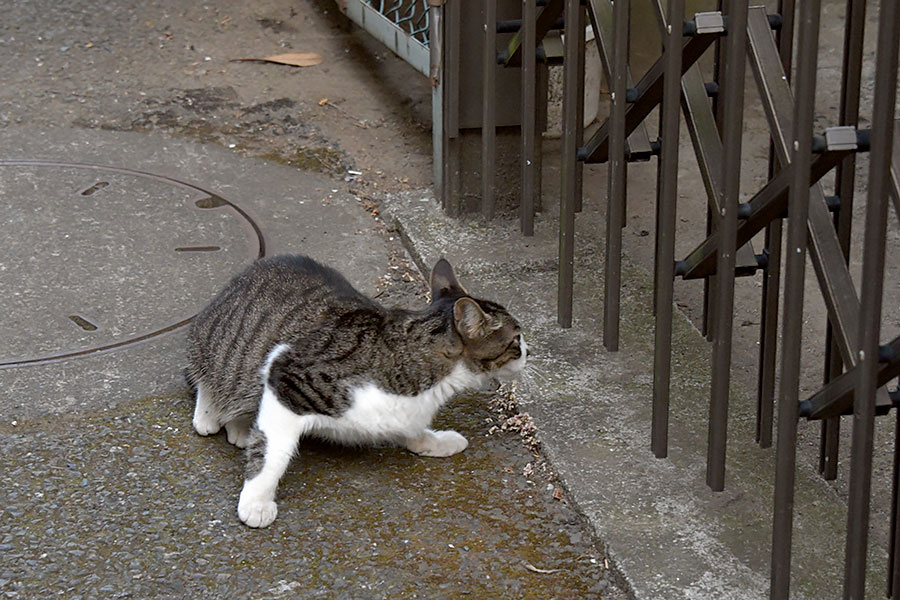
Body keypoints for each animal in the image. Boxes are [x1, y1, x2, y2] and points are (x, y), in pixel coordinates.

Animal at [188, 255, 528, 528]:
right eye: (516, 340)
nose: (530, 350)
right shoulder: (287, 377)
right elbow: (273, 452)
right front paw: (256, 502)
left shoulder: (403, 415)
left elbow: (415, 433)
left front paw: (437, 443)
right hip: (225, 350)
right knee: (209, 377)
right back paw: (212, 415)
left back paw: (240, 426)